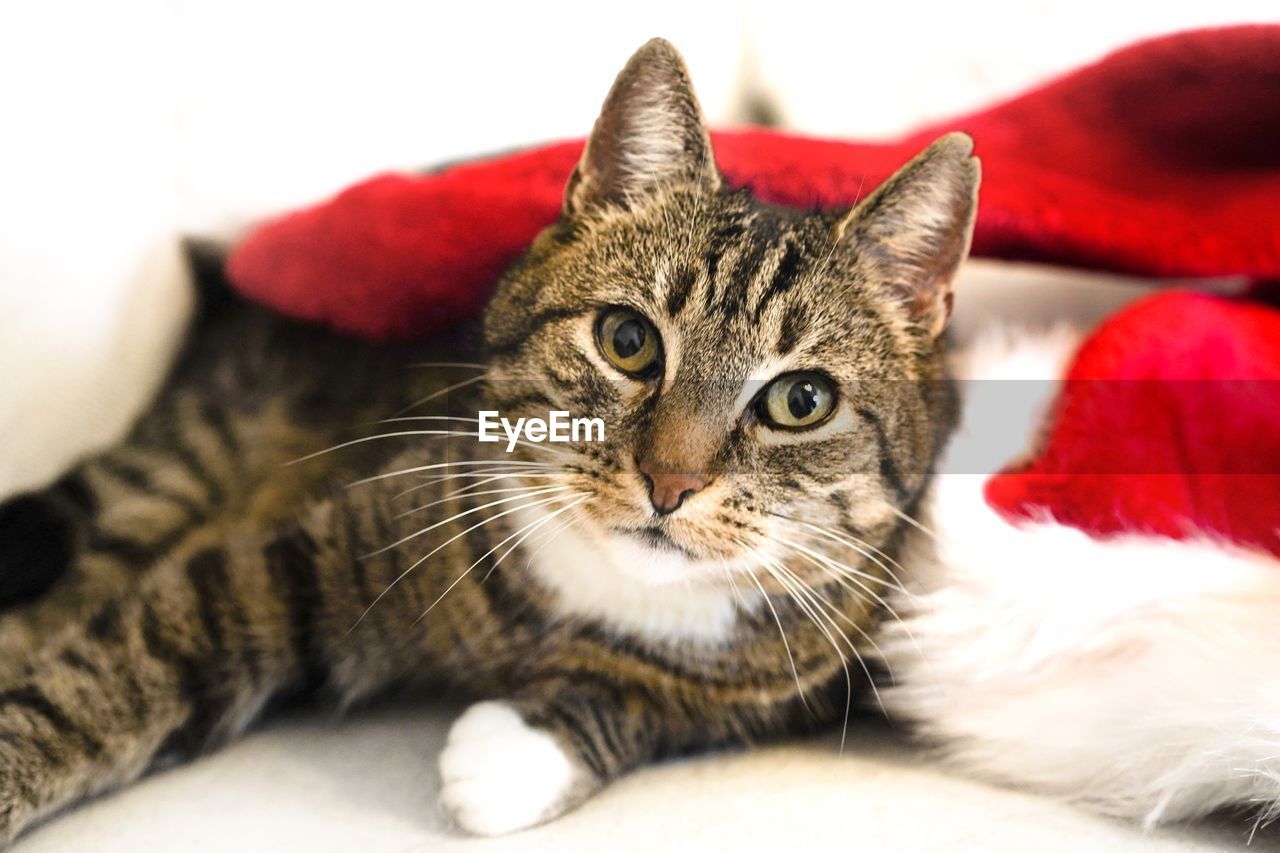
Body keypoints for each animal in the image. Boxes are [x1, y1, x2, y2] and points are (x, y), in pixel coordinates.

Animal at [0, 38, 977, 835]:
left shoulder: (805, 673)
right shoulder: (300, 553)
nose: (669, 482)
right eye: (629, 339)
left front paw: (517, 748)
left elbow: (672, 705)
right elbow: (114, 669)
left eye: (801, 400)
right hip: (180, 467)